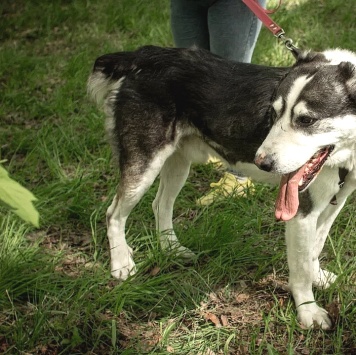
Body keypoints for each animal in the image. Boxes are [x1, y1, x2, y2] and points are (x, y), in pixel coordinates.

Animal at [88, 45, 356, 330]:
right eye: (273, 115)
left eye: (306, 120)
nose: (261, 162)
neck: (345, 156)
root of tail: (144, 54)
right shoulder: (302, 212)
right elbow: (301, 267)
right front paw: (308, 310)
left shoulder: (332, 206)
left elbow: (314, 249)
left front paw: (319, 278)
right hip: (144, 165)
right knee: (114, 214)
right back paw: (120, 263)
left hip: (178, 163)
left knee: (160, 204)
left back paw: (171, 248)